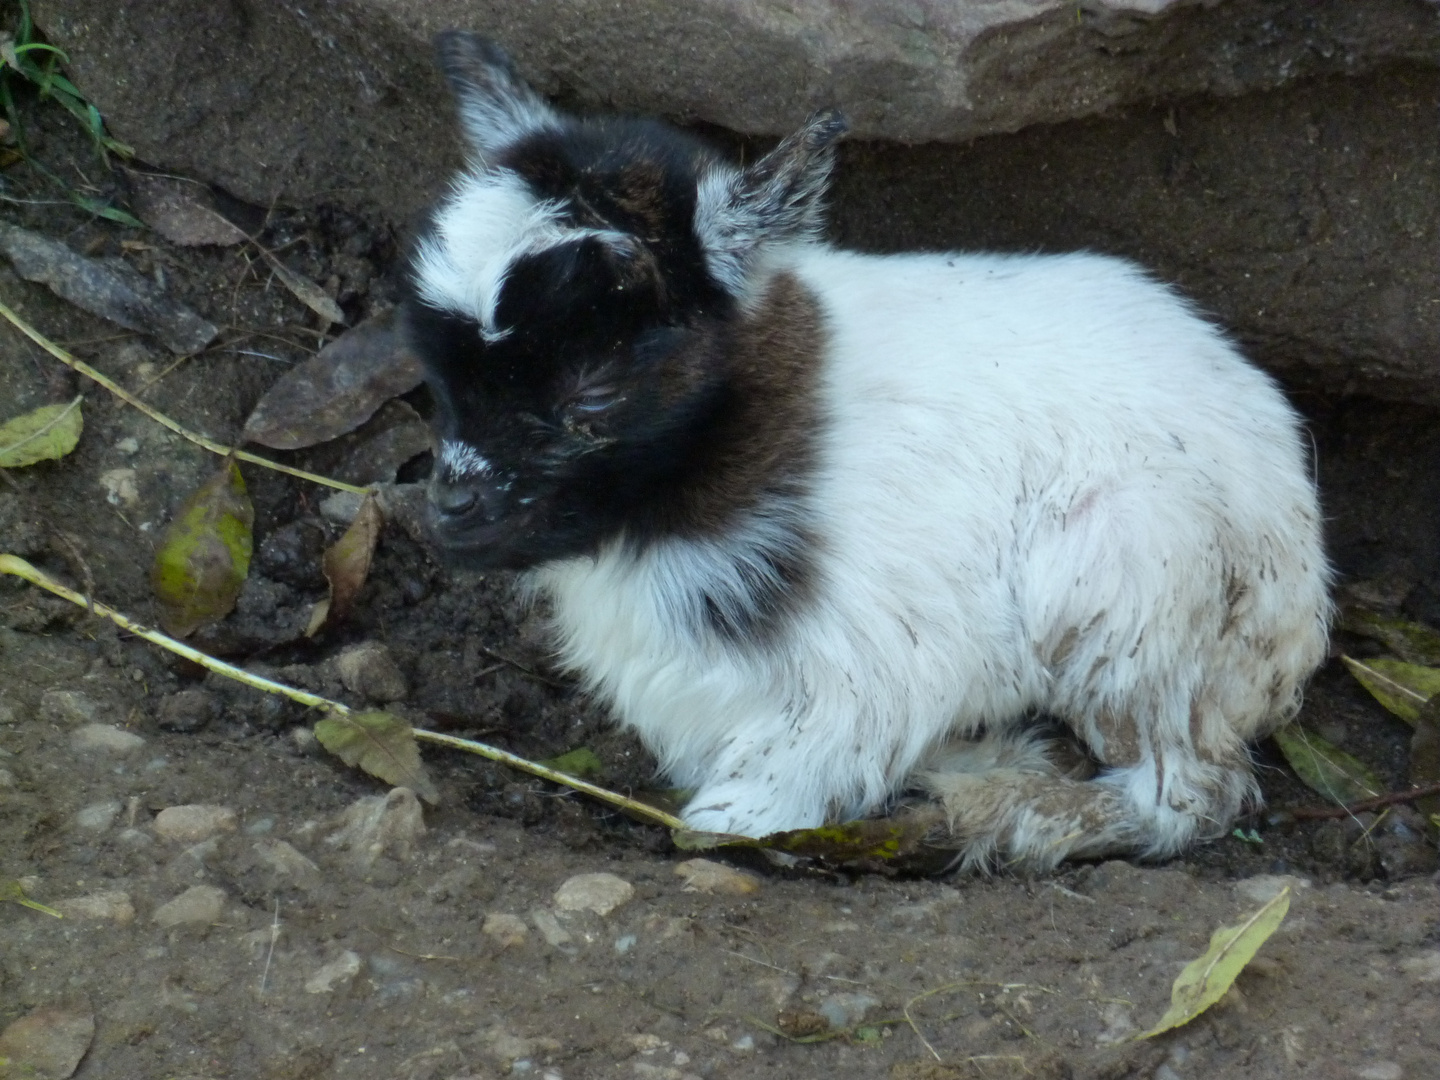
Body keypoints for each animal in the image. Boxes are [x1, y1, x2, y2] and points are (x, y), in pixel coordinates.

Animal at [403, 33, 1324, 875]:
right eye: (436, 371)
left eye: (593, 388)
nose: (449, 511)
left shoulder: (859, 671)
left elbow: (787, 777)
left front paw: (740, 823)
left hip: (1135, 594)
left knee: (1187, 793)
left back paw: (1002, 813)